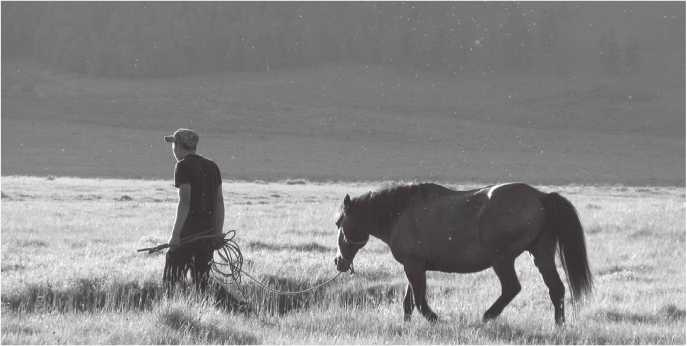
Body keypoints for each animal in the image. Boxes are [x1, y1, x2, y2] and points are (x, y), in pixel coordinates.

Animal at [334, 182, 592, 326]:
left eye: (339, 223)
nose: (338, 262)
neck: (399, 213)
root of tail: (541, 197)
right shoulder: (413, 266)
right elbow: (409, 301)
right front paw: (407, 326)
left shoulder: (414, 266)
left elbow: (419, 301)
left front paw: (436, 320)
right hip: (540, 255)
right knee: (556, 289)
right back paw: (558, 326)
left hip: (502, 259)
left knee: (512, 288)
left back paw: (487, 316)